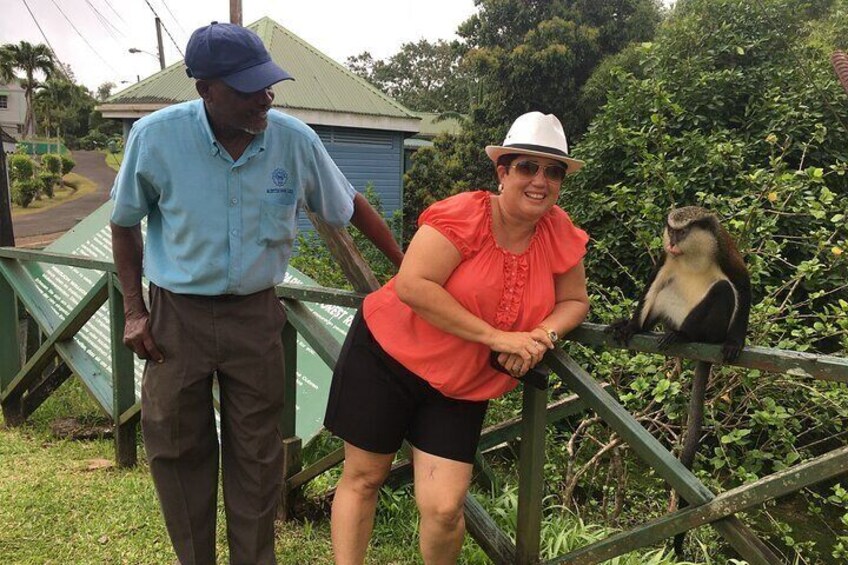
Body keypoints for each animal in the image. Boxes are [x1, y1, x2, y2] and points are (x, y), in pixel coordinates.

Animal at [608, 206, 748, 556]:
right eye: (670, 229)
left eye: (682, 231)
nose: (672, 241)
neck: (691, 253)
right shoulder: (665, 258)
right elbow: (655, 280)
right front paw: (631, 325)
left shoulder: (724, 248)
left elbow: (742, 283)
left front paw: (736, 342)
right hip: (668, 312)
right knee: (663, 292)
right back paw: (644, 328)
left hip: (709, 327)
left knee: (722, 292)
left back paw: (685, 336)